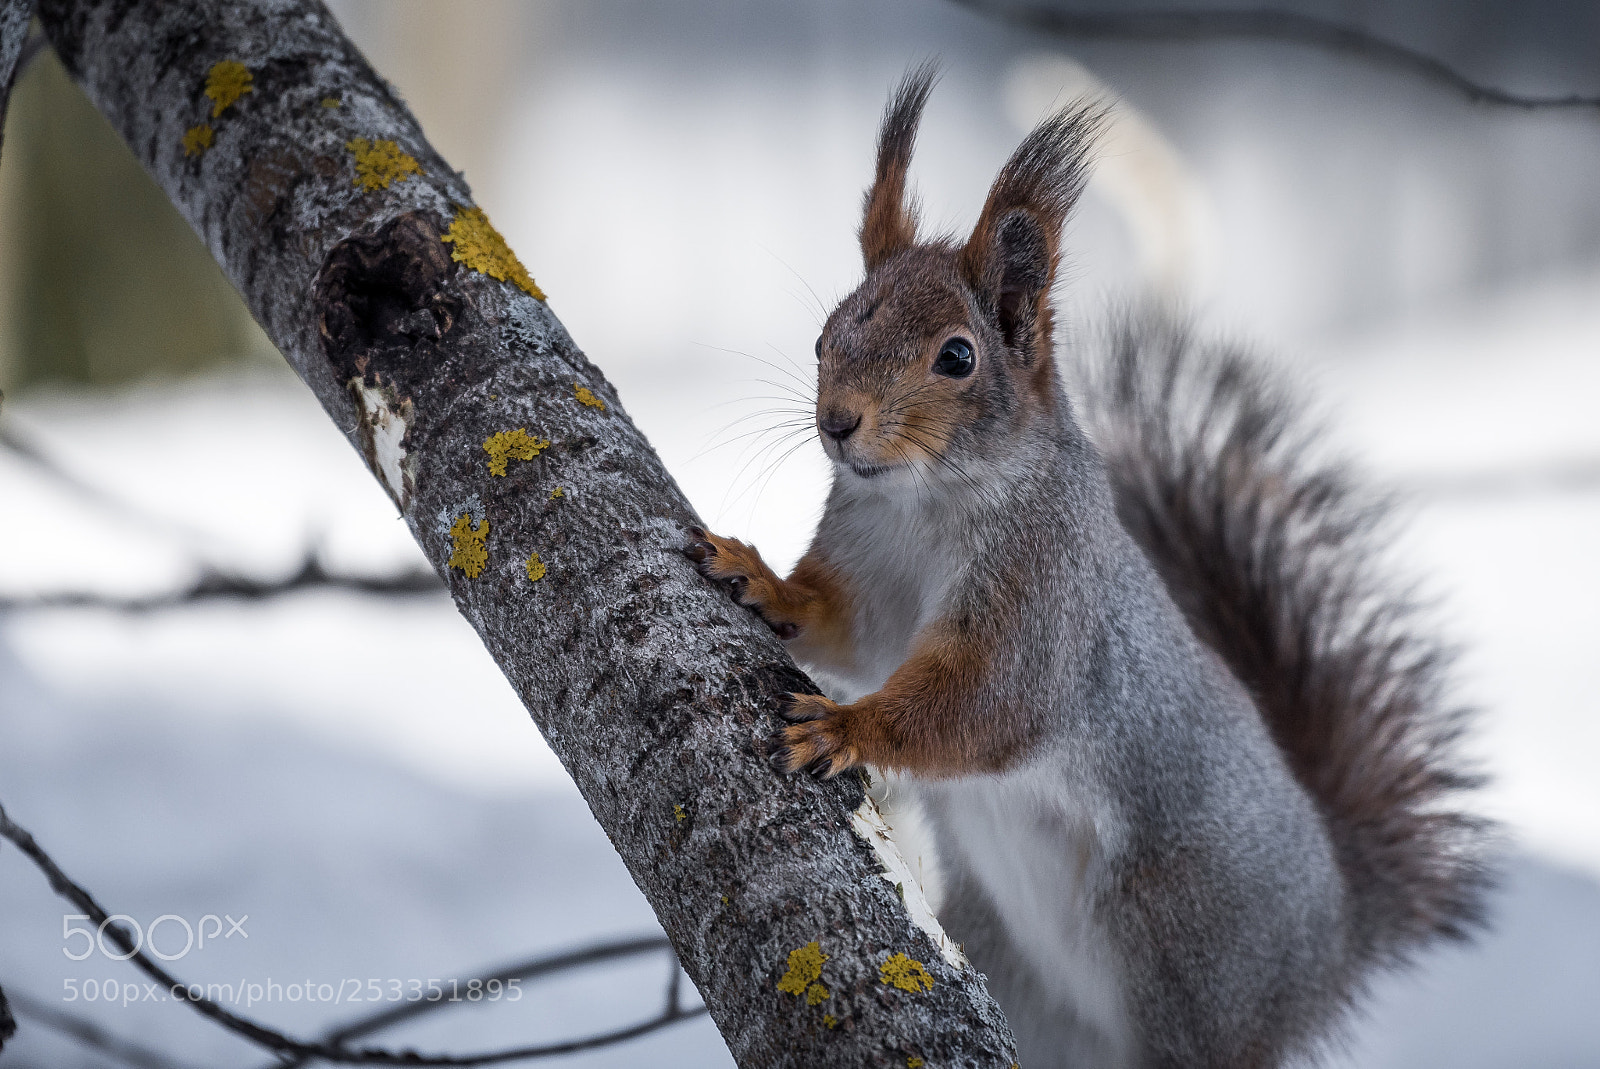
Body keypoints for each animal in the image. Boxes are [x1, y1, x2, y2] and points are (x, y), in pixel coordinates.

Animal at [681, 68, 1491, 1069]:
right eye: (830, 332)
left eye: (957, 356)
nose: (837, 422)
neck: (925, 506)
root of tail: (1336, 937)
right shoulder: (869, 576)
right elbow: (842, 625)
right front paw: (757, 575)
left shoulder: (1041, 599)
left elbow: (982, 704)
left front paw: (848, 728)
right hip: (1021, 967)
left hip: (1184, 951)